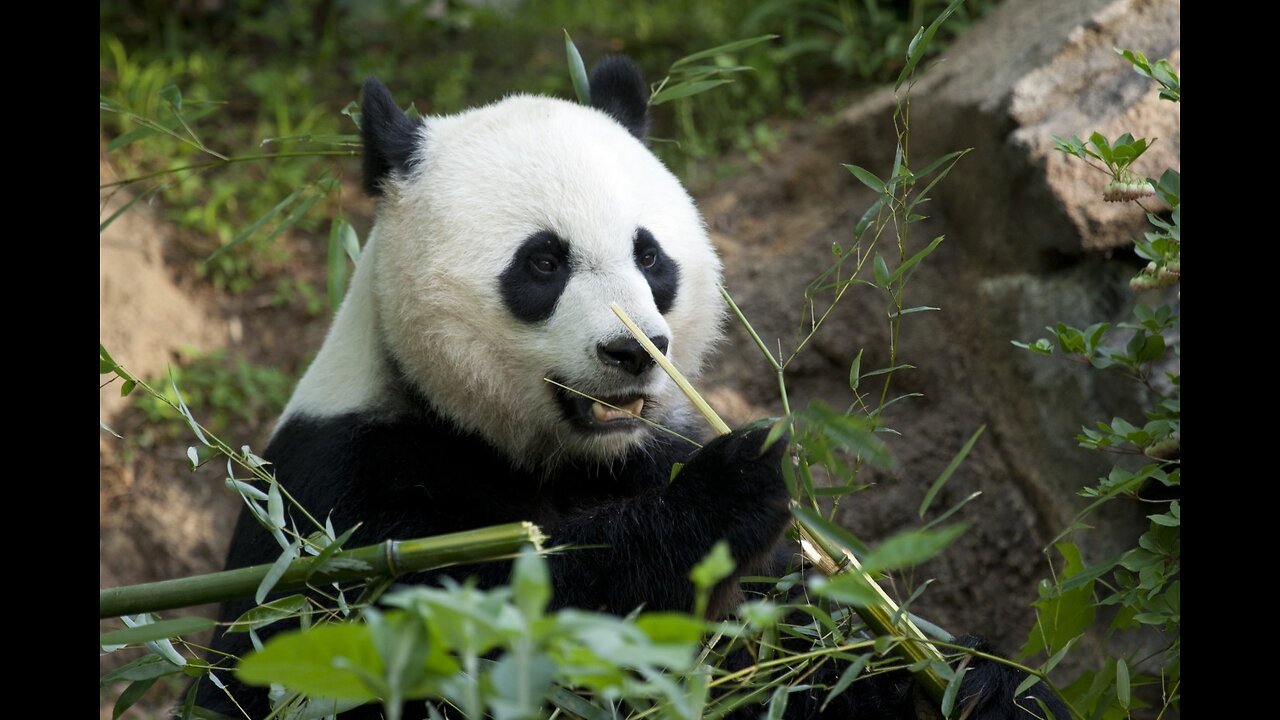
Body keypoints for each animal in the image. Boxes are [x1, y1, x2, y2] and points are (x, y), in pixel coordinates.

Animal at [197, 56, 1059, 717]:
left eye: (650, 256)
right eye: (543, 262)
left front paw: (971, 679)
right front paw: (731, 487)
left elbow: (806, 637)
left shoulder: (652, 449)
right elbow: (460, 630)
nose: (633, 351)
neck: (547, 454)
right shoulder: (337, 505)